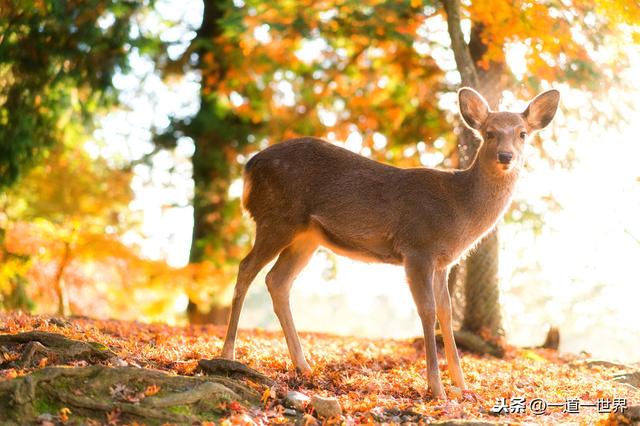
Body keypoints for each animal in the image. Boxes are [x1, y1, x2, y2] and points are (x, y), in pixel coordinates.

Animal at [220, 86, 560, 400]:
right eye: (489, 133)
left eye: (523, 134)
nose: (506, 156)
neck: (459, 210)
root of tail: (248, 168)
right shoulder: (418, 247)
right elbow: (428, 311)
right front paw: (437, 389)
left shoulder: (443, 262)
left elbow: (447, 313)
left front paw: (463, 386)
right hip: (277, 218)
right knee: (246, 268)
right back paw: (228, 354)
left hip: (307, 236)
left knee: (277, 280)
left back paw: (303, 365)